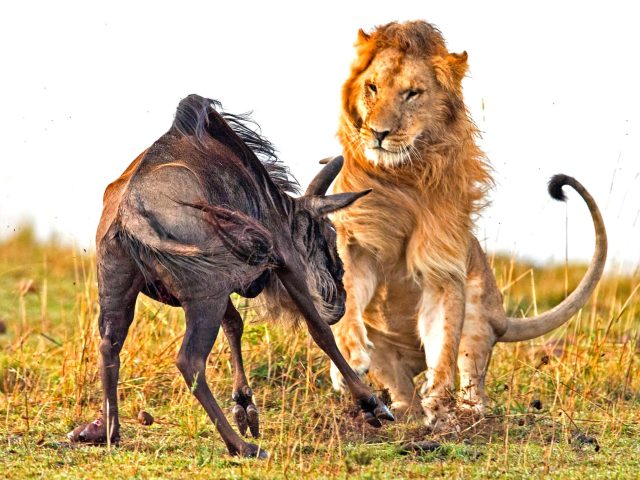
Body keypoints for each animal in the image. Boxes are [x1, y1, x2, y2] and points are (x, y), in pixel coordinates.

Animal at [329, 20, 607, 428]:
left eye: (412, 93)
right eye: (373, 87)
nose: (378, 134)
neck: (403, 176)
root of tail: (502, 317)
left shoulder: (442, 268)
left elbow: (443, 342)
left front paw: (439, 403)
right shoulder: (355, 243)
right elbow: (347, 300)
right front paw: (348, 357)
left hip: (477, 317)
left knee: (471, 378)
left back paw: (464, 410)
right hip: (388, 357)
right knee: (401, 388)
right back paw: (397, 410)